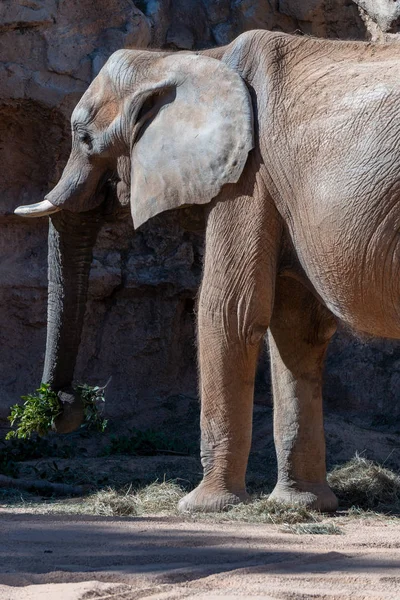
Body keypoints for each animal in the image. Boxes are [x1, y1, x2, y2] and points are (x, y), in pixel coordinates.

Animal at [14, 28, 400, 512]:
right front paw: (298, 506)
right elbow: (296, 326)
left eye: (84, 137)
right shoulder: (272, 183)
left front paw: (201, 506)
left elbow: (229, 310)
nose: (66, 406)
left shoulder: (247, 173)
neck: (188, 59)